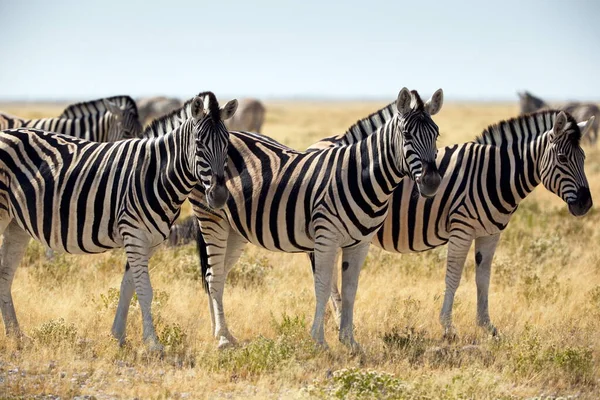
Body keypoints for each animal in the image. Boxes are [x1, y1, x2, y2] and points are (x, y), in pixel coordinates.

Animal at [0, 92, 239, 348]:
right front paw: (153, 343)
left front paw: (118, 336)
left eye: (227, 144)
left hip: (16, 225)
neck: (155, 174)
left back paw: (16, 335)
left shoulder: (150, 240)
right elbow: (145, 290)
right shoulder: (133, 233)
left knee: (5, 274)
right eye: (199, 144)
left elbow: (128, 286)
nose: (219, 196)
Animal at [312, 107, 592, 338]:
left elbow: (483, 278)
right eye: (563, 159)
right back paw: (337, 320)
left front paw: (487, 326)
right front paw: (448, 327)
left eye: (584, 158)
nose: (586, 204)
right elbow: (454, 277)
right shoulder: (462, 229)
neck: (494, 174)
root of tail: (317, 143)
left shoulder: (491, 233)